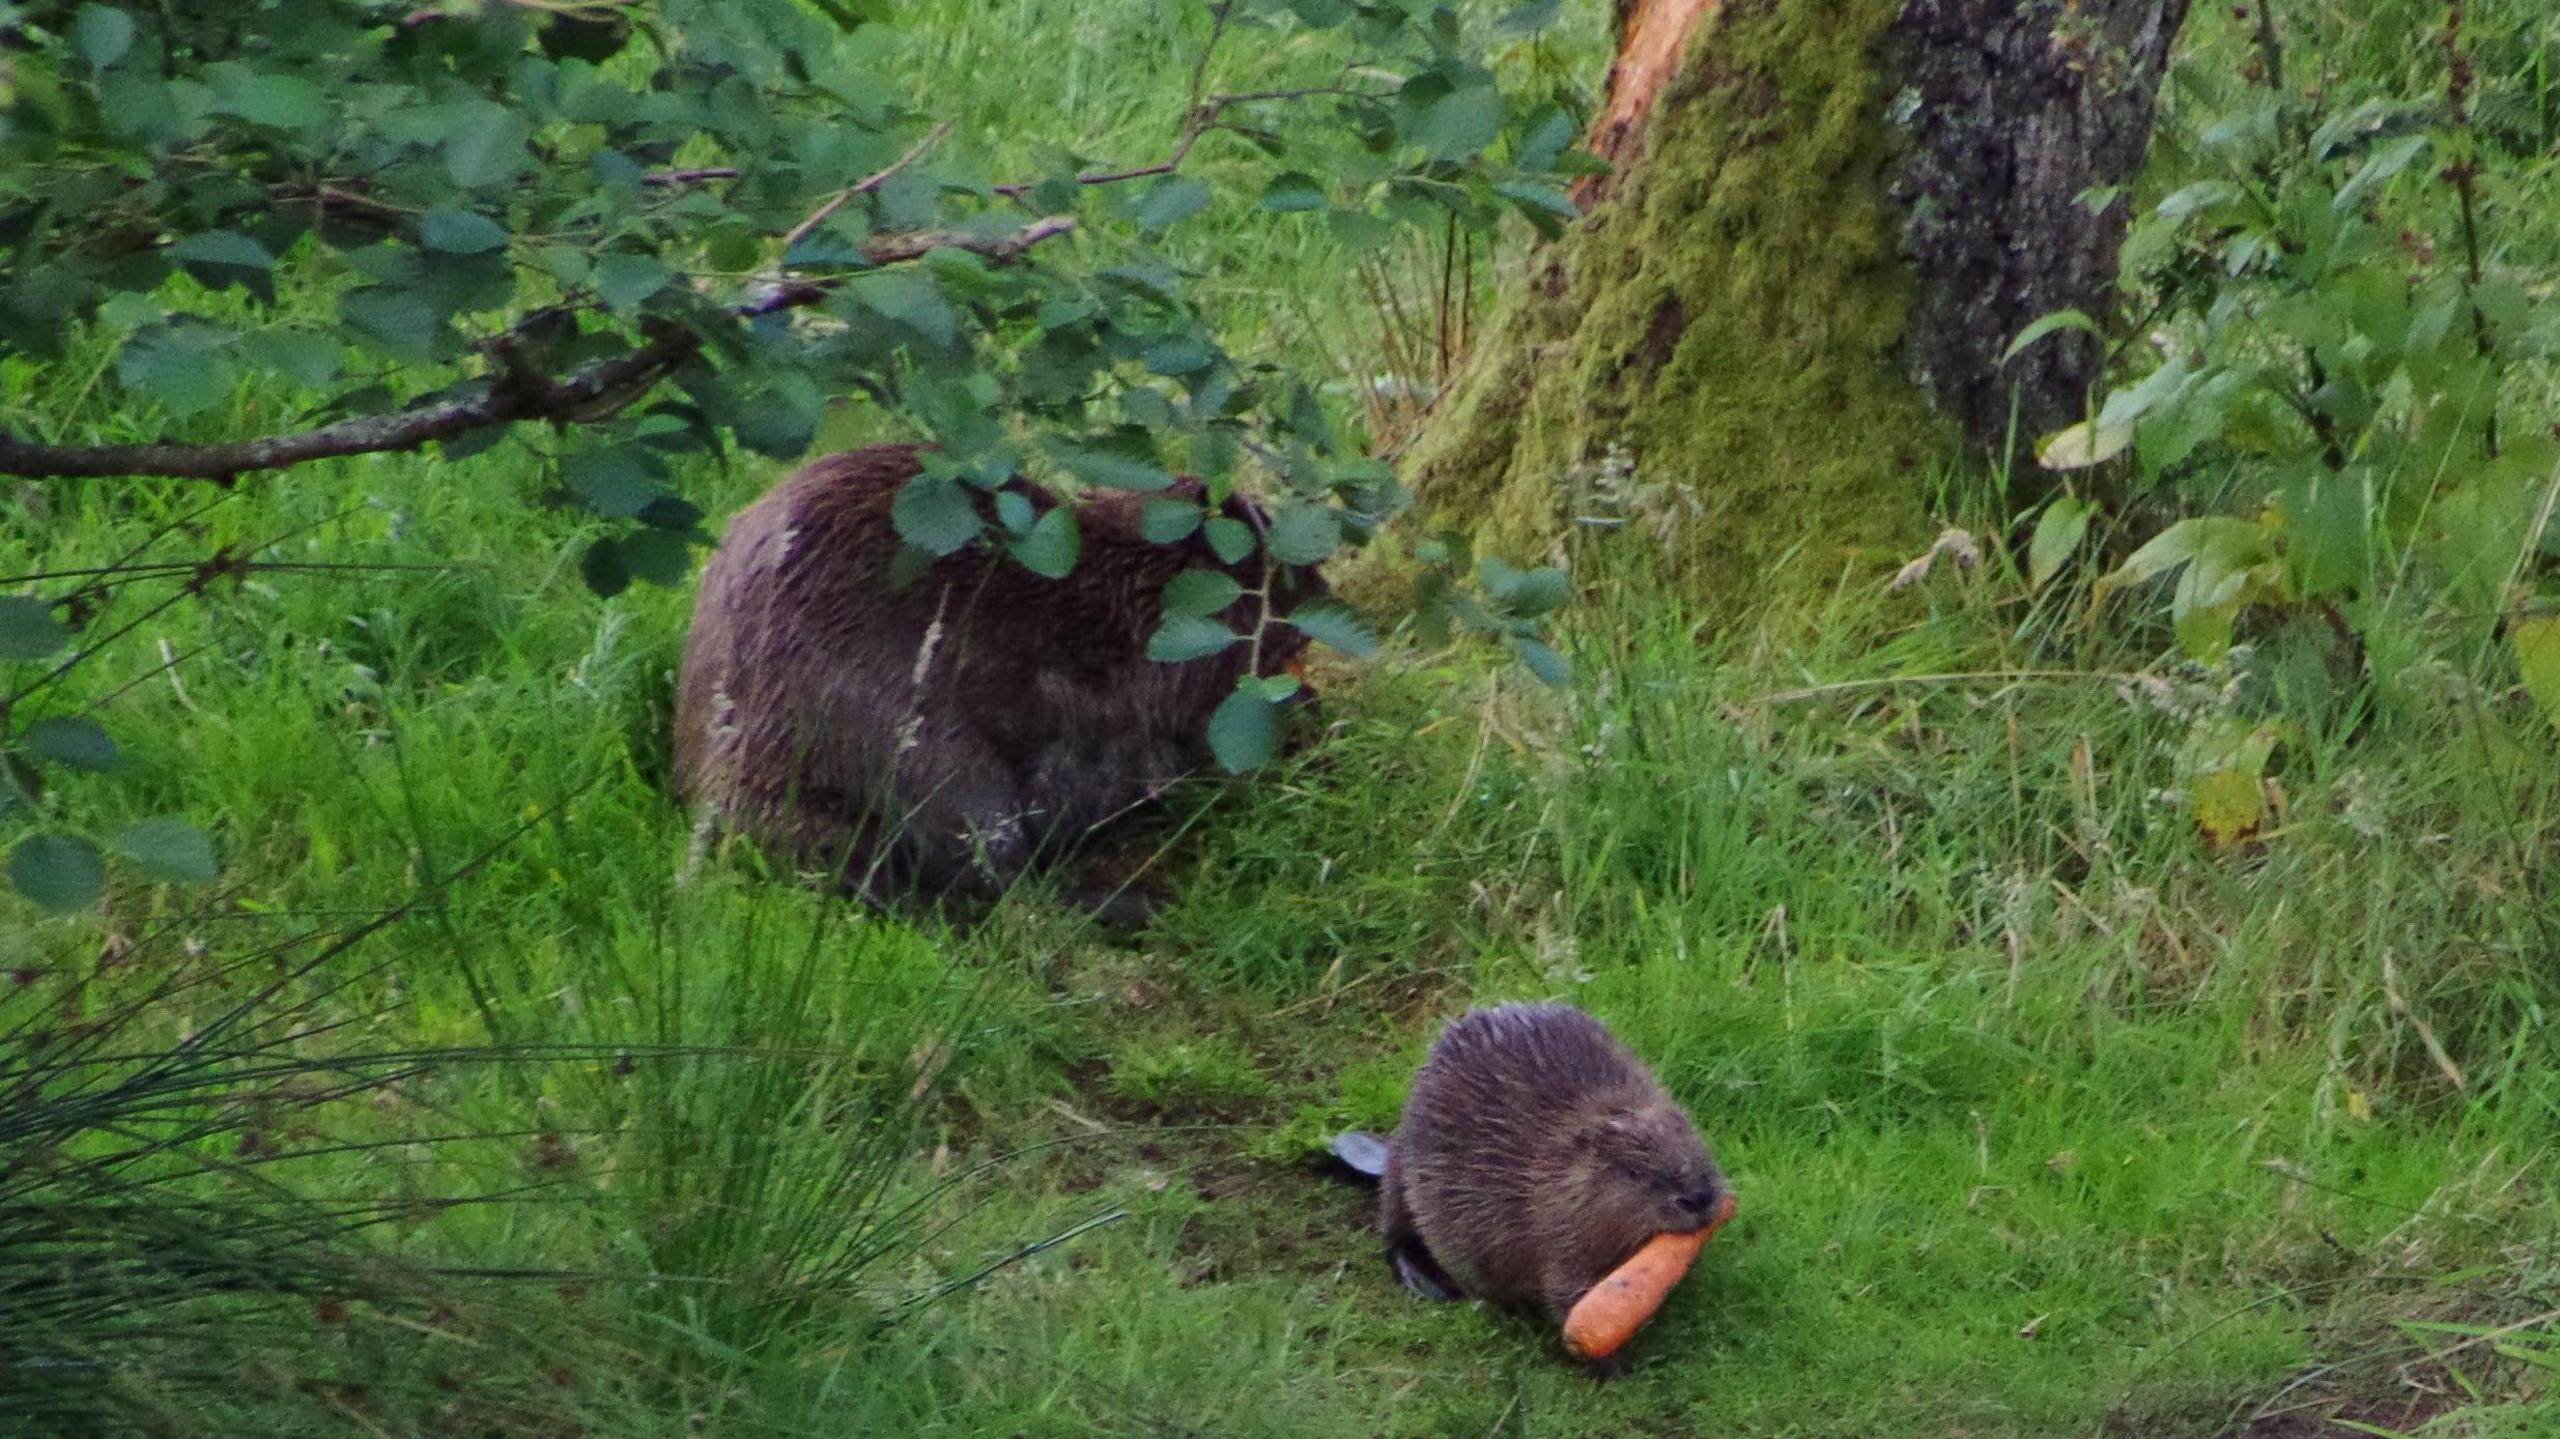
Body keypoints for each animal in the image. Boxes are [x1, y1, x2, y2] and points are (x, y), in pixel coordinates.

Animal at [1341, 998, 1720, 1341]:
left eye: (1695, 1142)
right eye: (1634, 1173)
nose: (1699, 1197)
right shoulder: (1550, 1230)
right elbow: (1567, 1292)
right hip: (1404, 1171)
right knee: (1396, 1232)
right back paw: (1426, 1281)